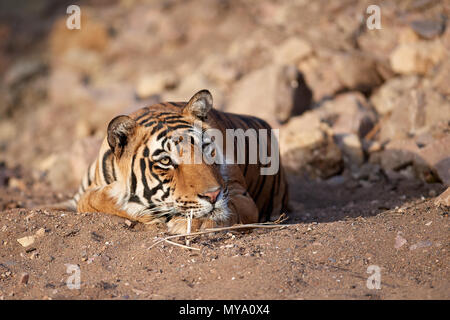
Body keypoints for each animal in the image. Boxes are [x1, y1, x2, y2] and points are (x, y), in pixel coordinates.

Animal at [60, 89, 288, 234]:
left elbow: (226, 208)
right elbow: (90, 200)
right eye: (165, 160)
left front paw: (197, 223)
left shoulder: (241, 195)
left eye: (205, 148)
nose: (213, 195)